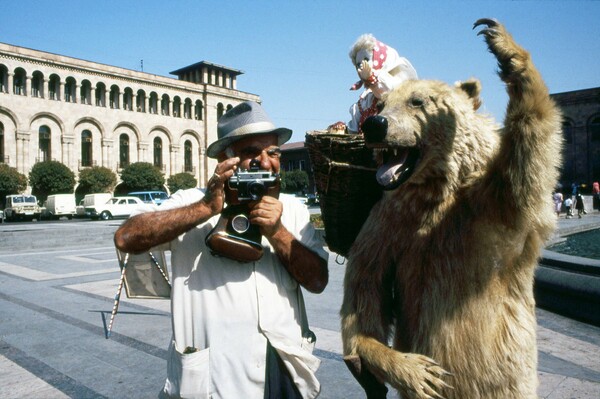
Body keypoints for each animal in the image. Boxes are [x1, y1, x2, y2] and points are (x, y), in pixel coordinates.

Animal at [342, 18, 564, 399]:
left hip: (511, 382)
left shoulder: (487, 206)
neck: (435, 192)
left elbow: (526, 169)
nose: (375, 125)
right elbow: (365, 291)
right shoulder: (387, 222)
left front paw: (504, 47)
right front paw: (414, 370)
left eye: (417, 101)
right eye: (381, 104)